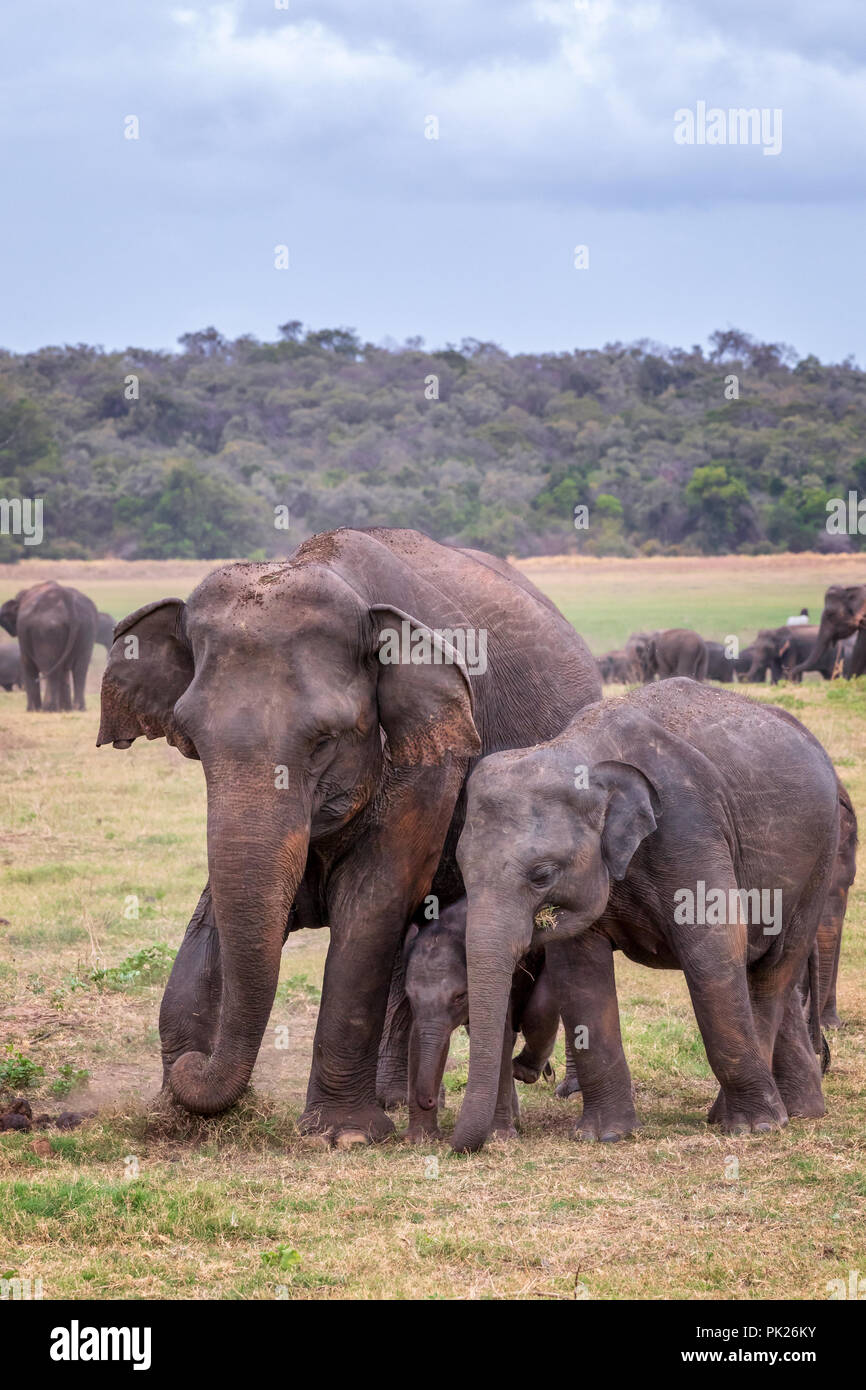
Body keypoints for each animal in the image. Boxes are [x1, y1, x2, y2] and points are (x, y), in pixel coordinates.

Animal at [0, 581, 98, 711]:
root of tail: (66, 598)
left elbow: (27, 663)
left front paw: (32, 710)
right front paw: (65, 710)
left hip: (47, 630)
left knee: (51, 669)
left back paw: (48, 709)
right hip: (87, 628)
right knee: (80, 669)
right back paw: (77, 708)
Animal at [403, 900, 578, 1139]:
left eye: (460, 996)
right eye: (409, 995)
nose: (430, 1100)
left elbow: (501, 1035)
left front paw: (502, 1137)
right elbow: (417, 1039)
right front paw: (420, 1139)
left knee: (540, 1010)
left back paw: (526, 1074)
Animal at [453, 675, 839, 1150]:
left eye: (542, 875)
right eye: (462, 868)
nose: (459, 1146)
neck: (579, 750)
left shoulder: (688, 825)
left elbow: (712, 951)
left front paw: (754, 1129)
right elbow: (579, 972)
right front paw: (603, 1136)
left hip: (819, 859)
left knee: (772, 971)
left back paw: (748, 1119)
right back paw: (801, 1111)